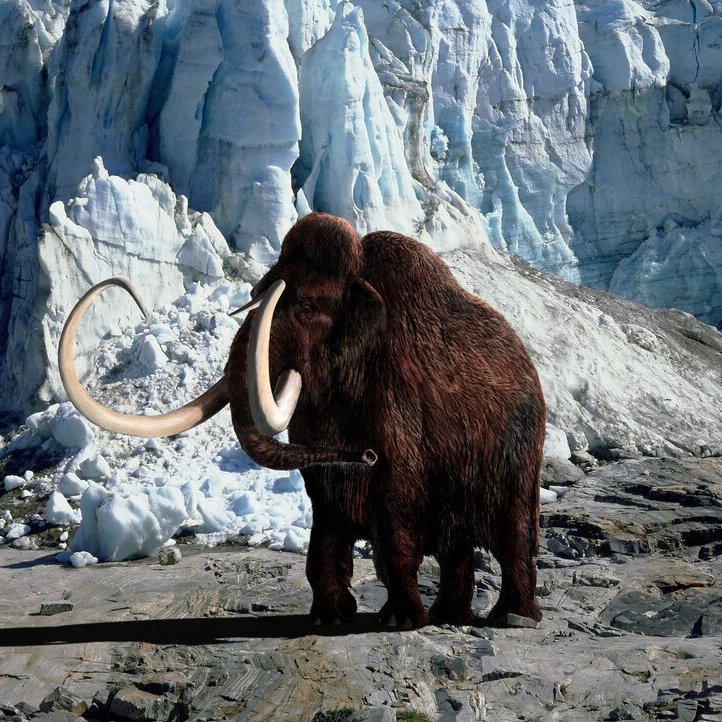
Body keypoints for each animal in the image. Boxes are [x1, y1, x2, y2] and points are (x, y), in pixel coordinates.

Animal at [59, 211, 546, 628]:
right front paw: (328, 617)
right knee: (457, 547)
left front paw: (399, 620)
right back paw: (450, 613)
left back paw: (512, 616)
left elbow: (394, 531)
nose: (366, 455)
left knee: (514, 534)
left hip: (520, 462)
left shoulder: (400, 435)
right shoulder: (321, 464)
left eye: (308, 308)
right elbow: (324, 531)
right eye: (257, 294)